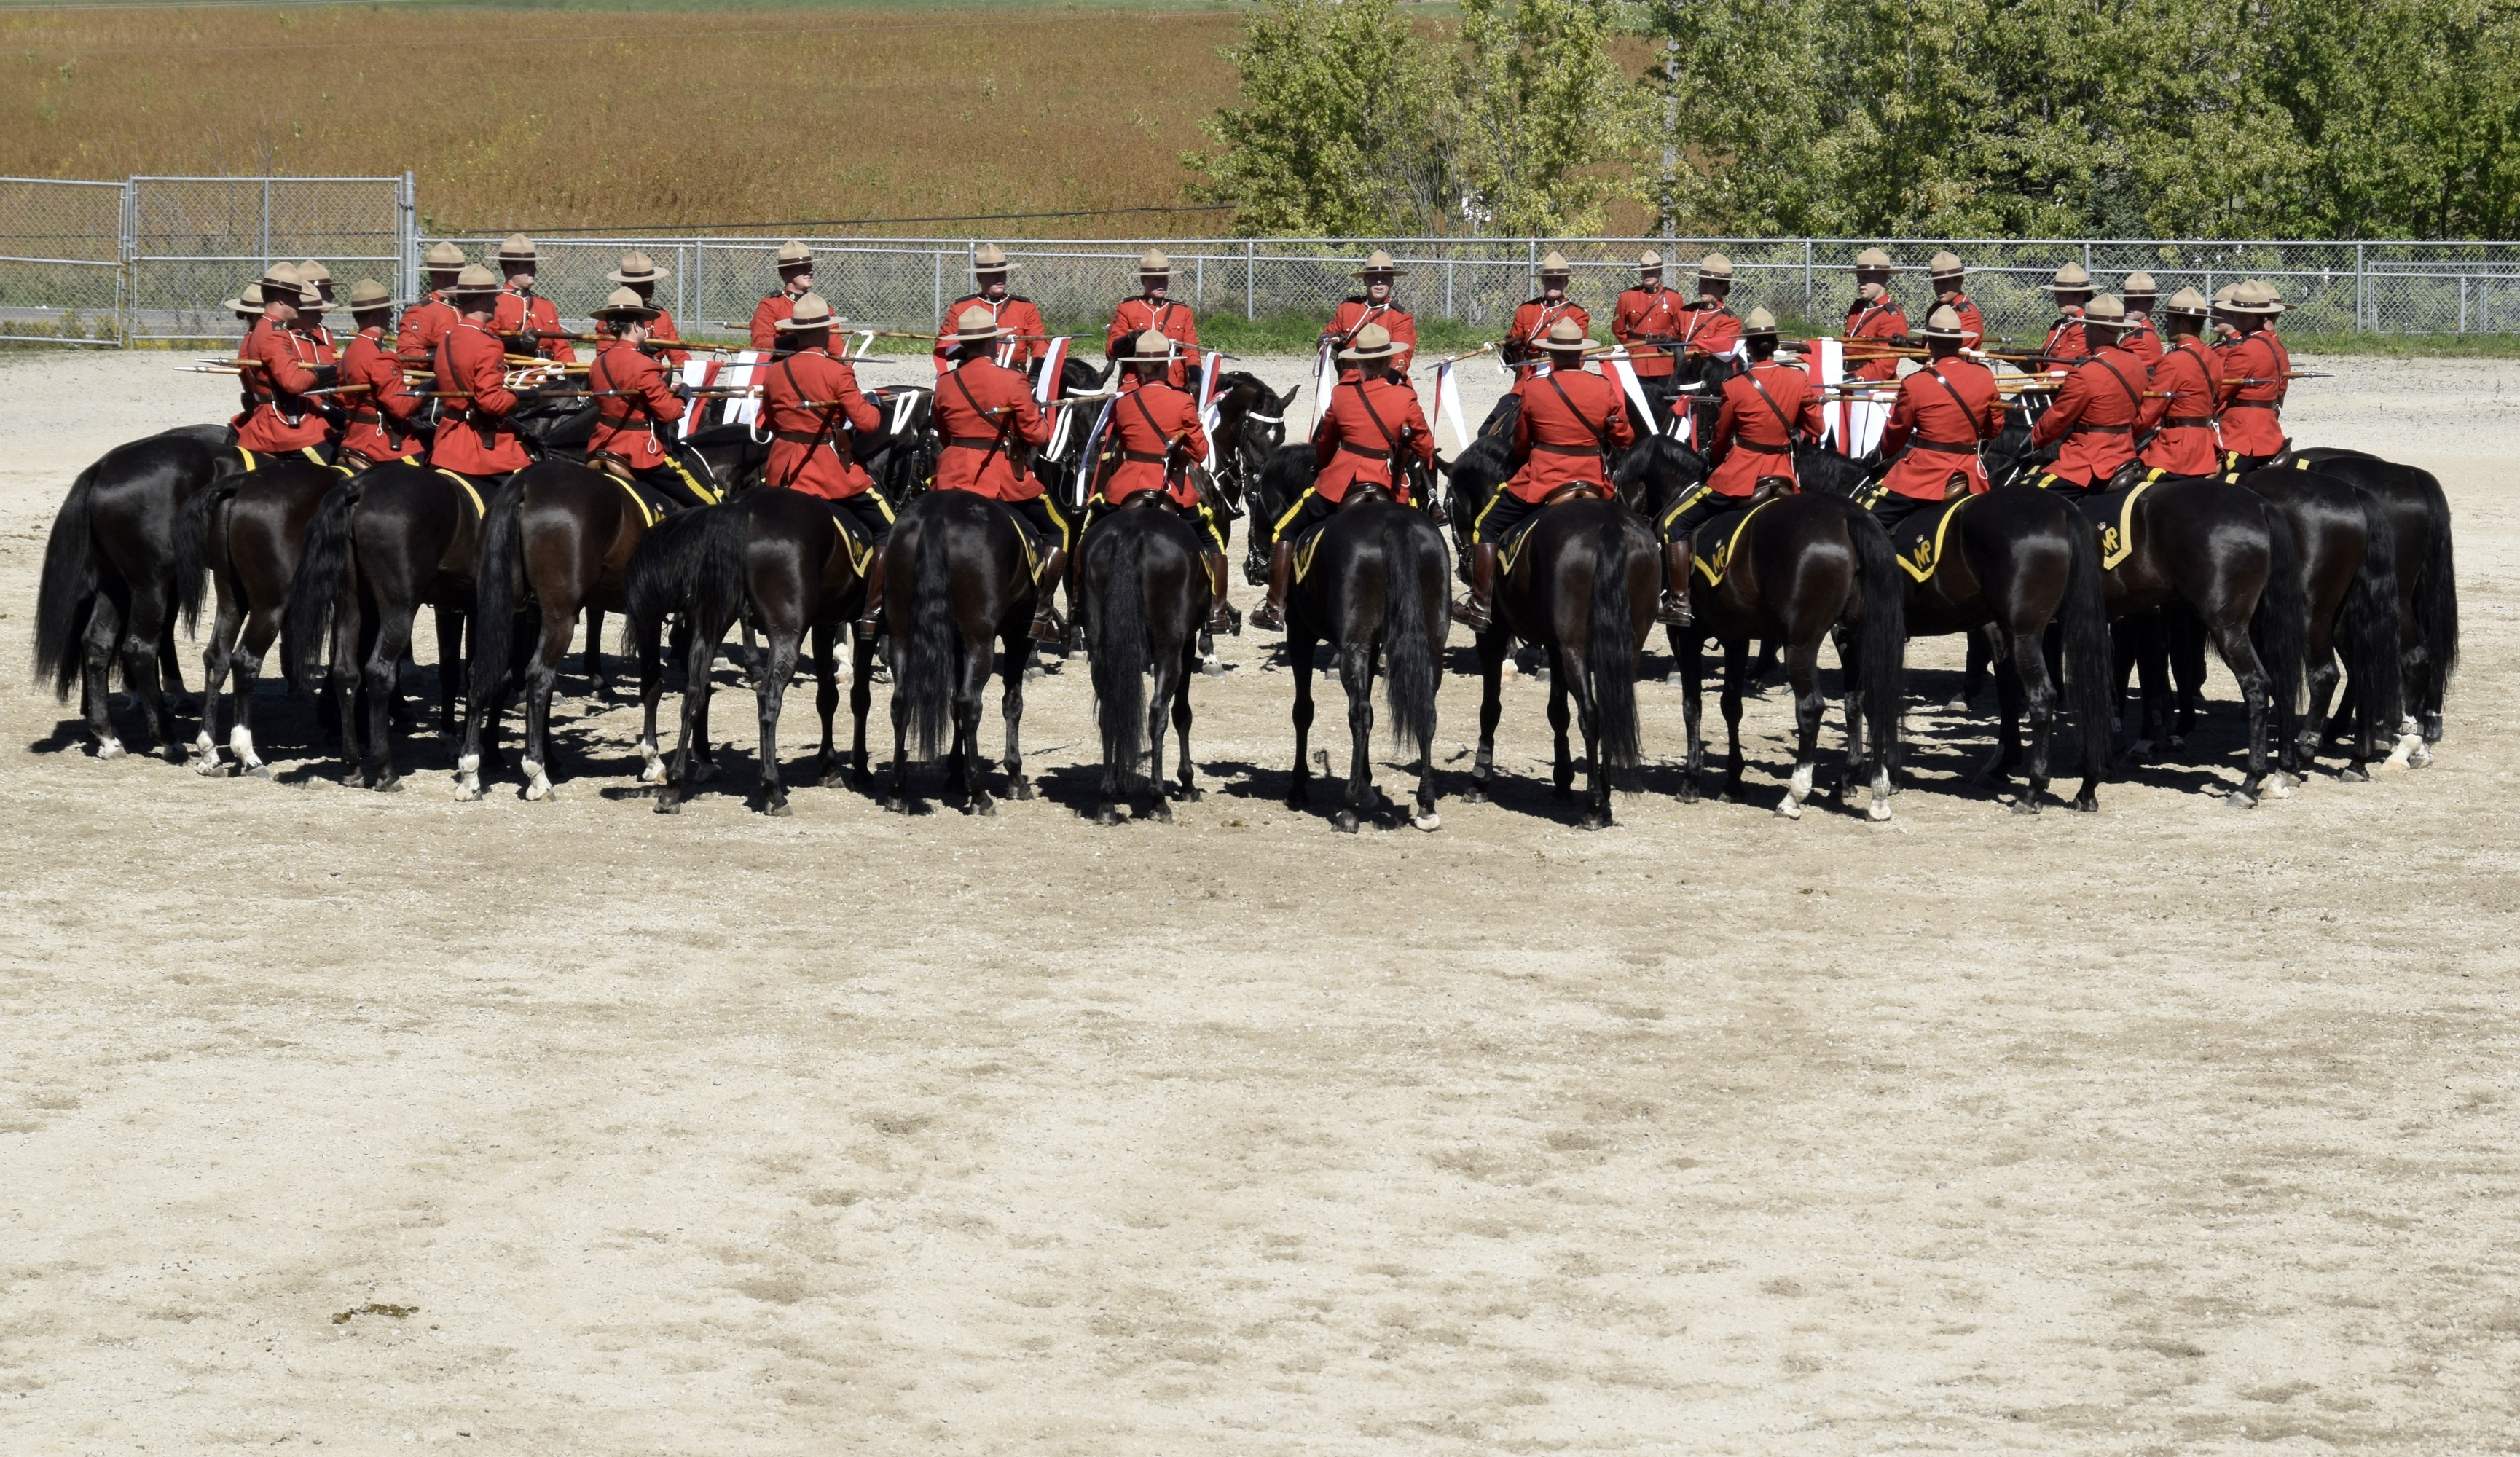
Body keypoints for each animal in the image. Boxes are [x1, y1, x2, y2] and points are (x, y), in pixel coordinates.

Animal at [619, 484, 876, 806]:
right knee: (768, 696)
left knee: (694, 691)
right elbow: (860, 698)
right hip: (786, 632)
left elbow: (827, 697)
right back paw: (773, 790)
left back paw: (674, 786)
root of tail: (744, 508)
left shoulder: (825, 623)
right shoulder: (866, 623)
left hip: (711, 623)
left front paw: (829, 767)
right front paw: (860, 771)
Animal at [887, 484, 1043, 806]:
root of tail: (937, 513)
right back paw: (980, 794)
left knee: (901, 703)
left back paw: (897, 791)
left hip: (900, 636)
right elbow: (1012, 703)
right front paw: (1014, 776)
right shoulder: (1018, 634)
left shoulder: (956, 645)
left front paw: (956, 774)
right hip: (980, 640)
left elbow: (952, 706)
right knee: (970, 703)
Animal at [1073, 496, 1209, 817]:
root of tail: (1132, 530)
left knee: (1109, 710)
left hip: (1100, 648)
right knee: (1158, 711)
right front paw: (1187, 782)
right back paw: (1158, 799)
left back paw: (1107, 800)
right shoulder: (1186, 644)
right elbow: (1181, 713)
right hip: (1169, 648)